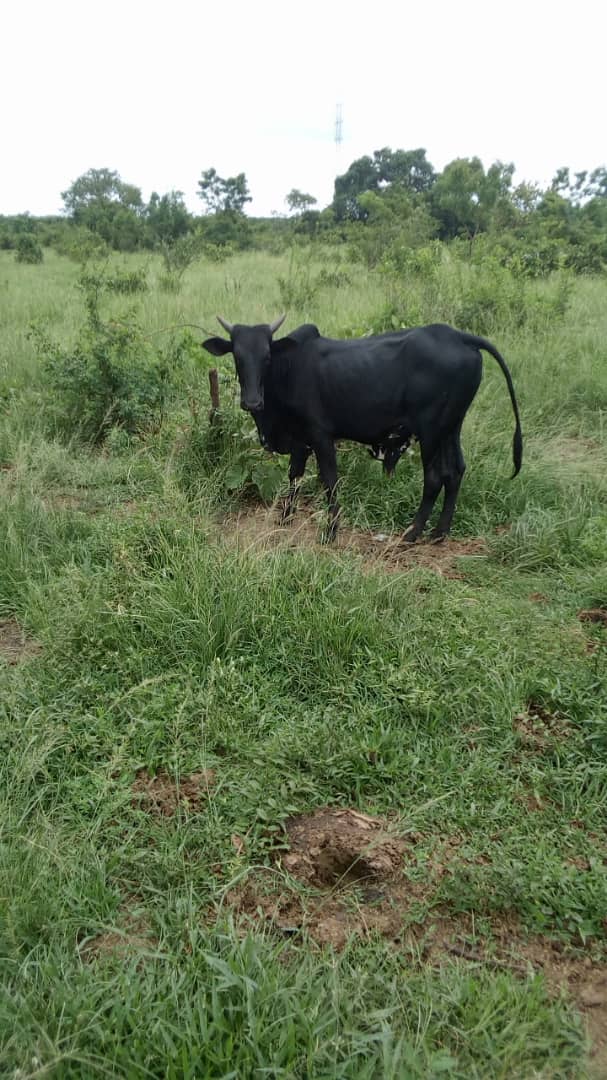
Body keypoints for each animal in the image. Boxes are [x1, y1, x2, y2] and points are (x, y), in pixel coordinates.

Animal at [202, 316, 522, 543]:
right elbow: (294, 477)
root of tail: (459, 337)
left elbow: (329, 481)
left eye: (267, 356)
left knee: (434, 477)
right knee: (455, 472)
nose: (252, 401)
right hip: (451, 428)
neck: (287, 370)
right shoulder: (300, 441)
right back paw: (439, 533)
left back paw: (413, 533)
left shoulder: (320, 435)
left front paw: (331, 532)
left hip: (431, 431)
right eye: (237, 356)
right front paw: (285, 518)